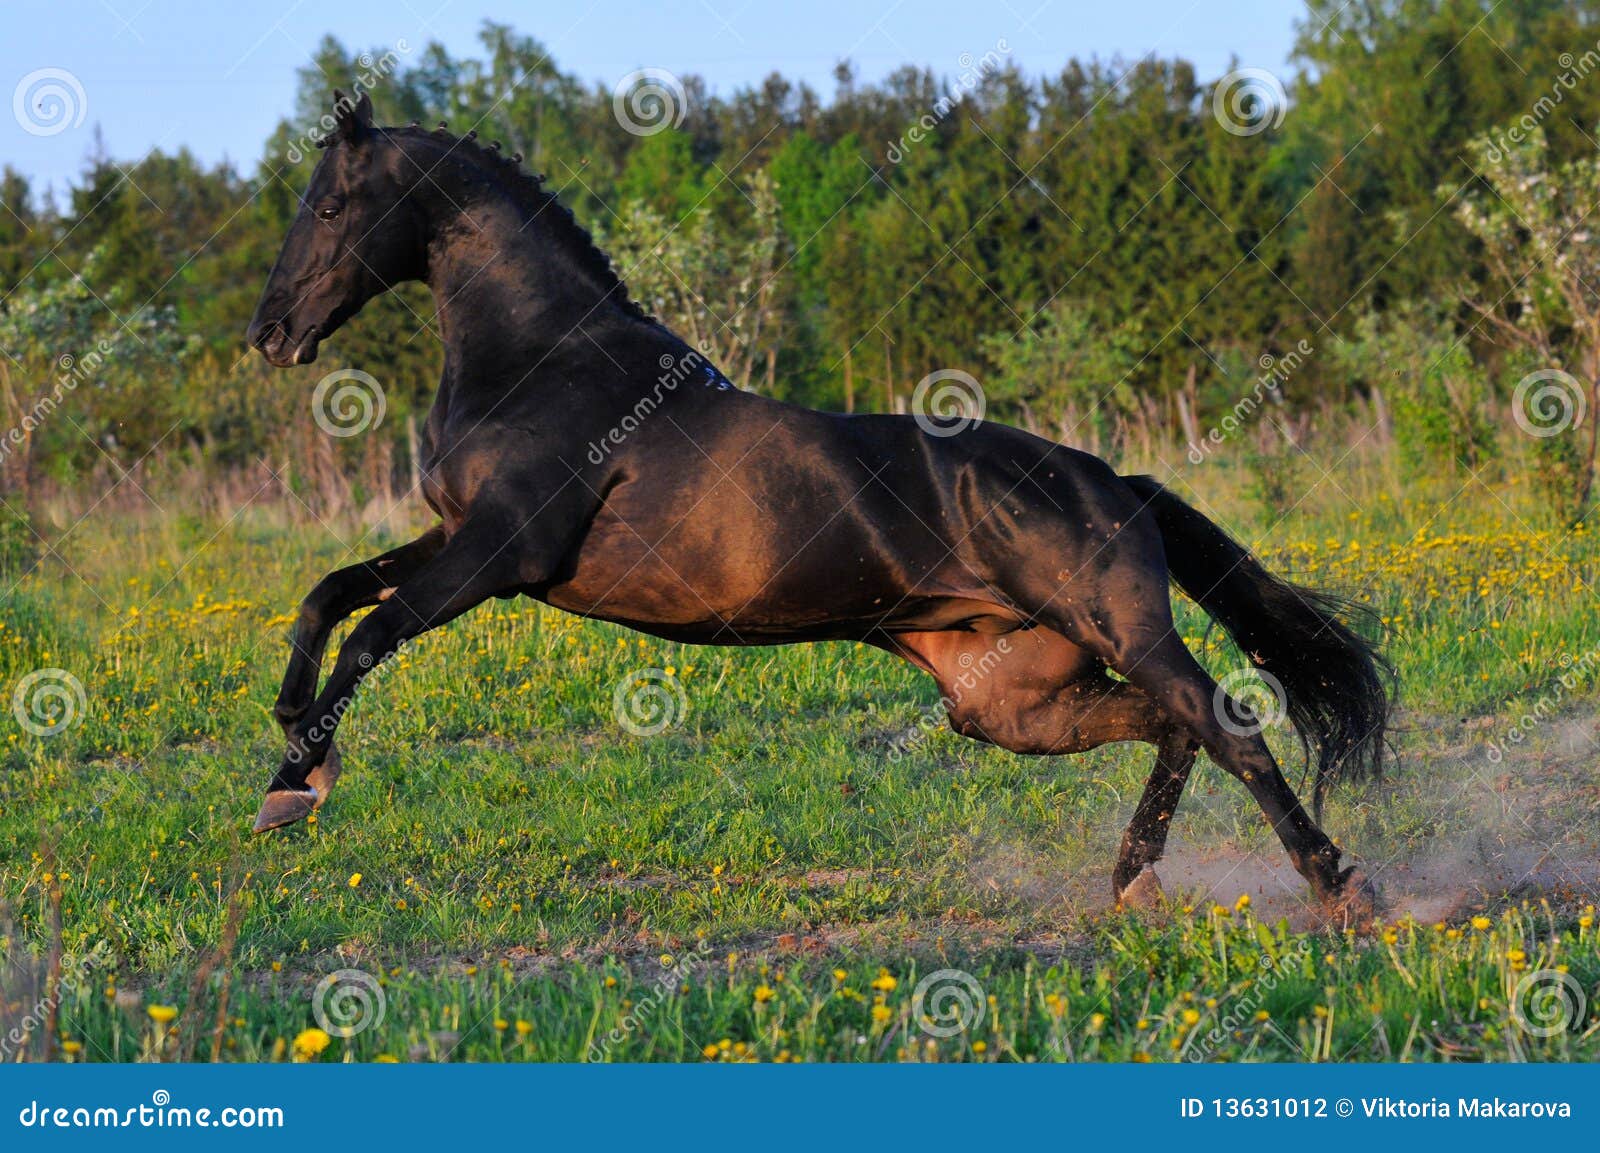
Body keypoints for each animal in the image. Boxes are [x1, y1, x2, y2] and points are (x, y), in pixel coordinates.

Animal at [245, 92, 1390, 920]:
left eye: (331, 206)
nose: (271, 331)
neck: (543, 360)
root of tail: (1113, 481)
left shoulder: (499, 555)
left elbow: (374, 630)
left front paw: (297, 784)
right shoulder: (456, 537)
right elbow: (328, 594)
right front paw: (292, 749)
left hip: (1115, 630)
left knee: (1228, 723)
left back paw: (1343, 891)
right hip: (1007, 701)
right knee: (1172, 725)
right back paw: (1135, 881)